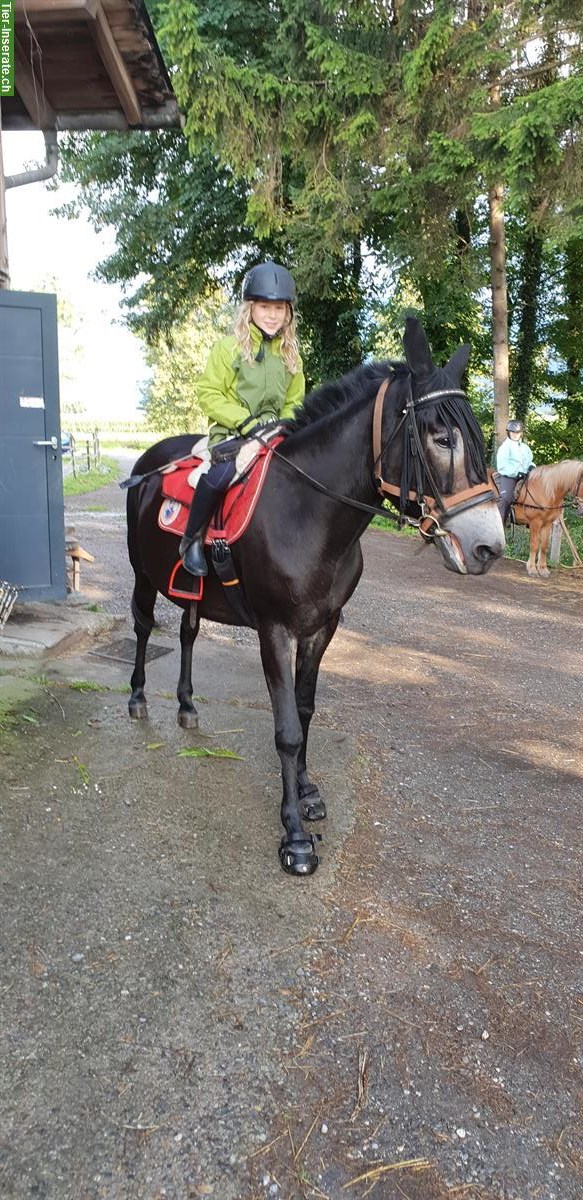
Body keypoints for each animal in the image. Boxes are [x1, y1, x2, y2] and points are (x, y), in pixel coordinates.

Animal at [127, 319, 506, 878]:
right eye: (441, 438)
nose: (489, 546)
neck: (307, 511)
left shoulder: (323, 627)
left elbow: (305, 711)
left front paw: (306, 791)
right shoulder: (275, 632)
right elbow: (286, 728)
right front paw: (295, 838)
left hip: (190, 592)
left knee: (189, 633)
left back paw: (188, 705)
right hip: (142, 576)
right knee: (140, 628)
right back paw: (136, 699)